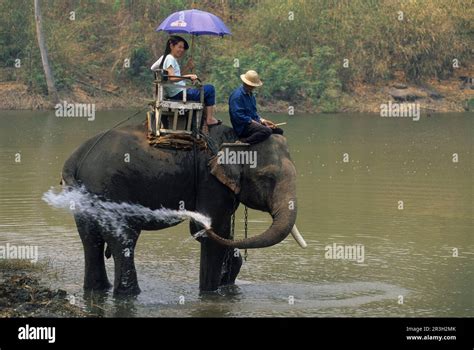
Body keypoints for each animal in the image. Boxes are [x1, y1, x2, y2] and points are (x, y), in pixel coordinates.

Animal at [62, 123, 300, 296]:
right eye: (267, 177)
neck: (235, 137)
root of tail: (76, 159)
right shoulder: (210, 182)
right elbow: (214, 232)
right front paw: (210, 294)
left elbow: (223, 234)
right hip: (111, 189)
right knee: (124, 237)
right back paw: (129, 294)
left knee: (90, 239)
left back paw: (99, 289)